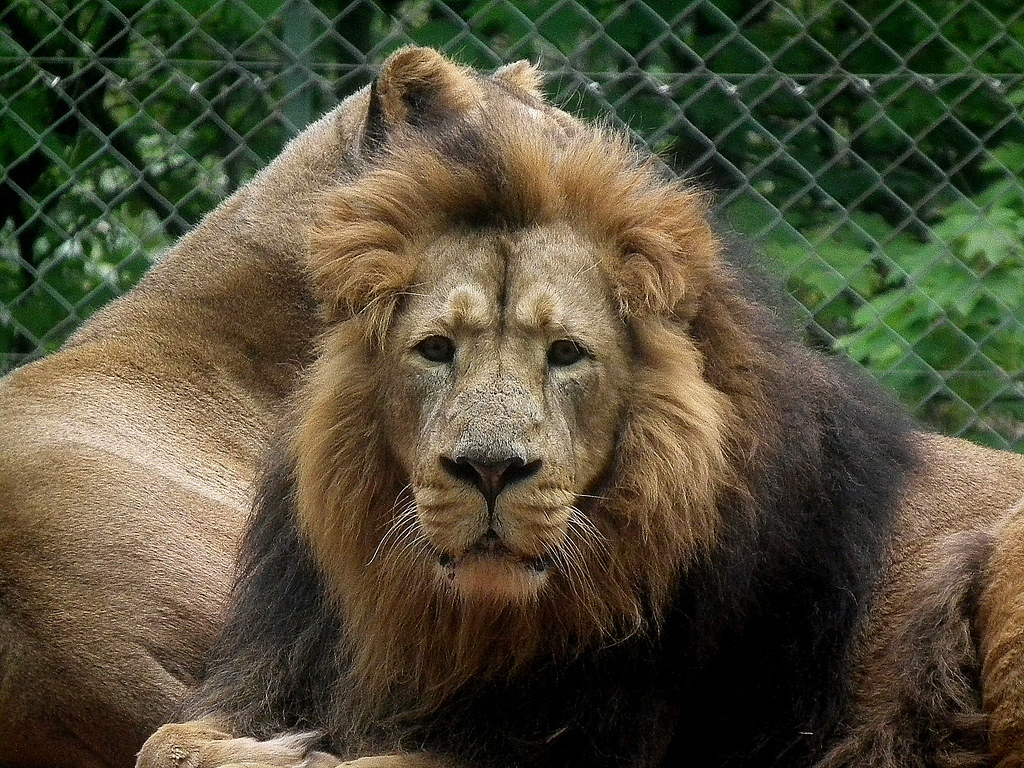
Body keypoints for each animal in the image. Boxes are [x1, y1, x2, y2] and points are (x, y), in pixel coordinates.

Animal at [126, 48, 1024, 768]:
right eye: (436, 349)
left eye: (566, 354)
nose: (490, 470)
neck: (435, 621)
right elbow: (162, 741)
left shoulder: (570, 740)